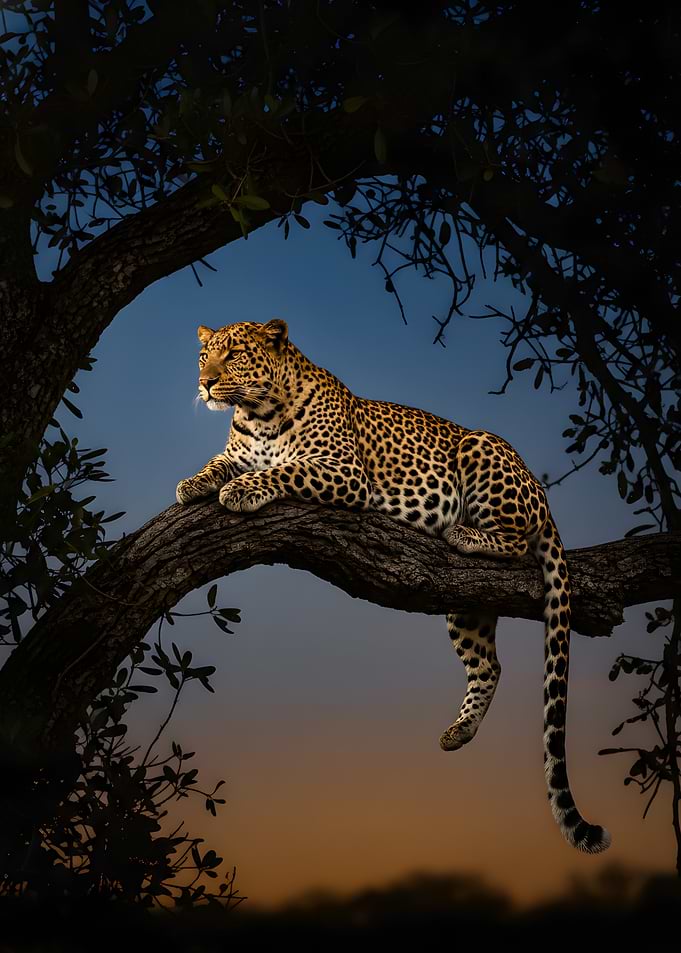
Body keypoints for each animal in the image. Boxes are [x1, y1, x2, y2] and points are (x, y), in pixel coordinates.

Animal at [176, 318, 611, 854]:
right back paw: (459, 732)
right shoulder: (238, 450)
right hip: (464, 601)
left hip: (481, 448)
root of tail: (543, 496)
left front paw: (241, 490)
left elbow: (285, 469)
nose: (205, 384)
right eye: (204, 357)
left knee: (515, 542)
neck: (256, 414)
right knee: (490, 664)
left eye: (234, 355)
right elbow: (219, 462)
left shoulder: (342, 472)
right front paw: (194, 482)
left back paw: (464, 532)